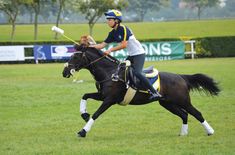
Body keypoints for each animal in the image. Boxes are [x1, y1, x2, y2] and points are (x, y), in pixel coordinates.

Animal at [61, 41, 219, 138]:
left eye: (75, 56)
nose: (64, 72)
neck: (110, 73)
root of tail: (181, 77)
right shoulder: (102, 95)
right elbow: (85, 95)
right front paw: (84, 114)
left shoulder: (109, 99)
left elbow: (96, 114)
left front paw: (83, 131)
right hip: (167, 103)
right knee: (184, 115)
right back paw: (184, 133)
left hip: (183, 100)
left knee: (196, 113)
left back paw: (210, 131)